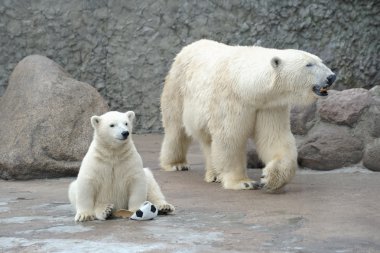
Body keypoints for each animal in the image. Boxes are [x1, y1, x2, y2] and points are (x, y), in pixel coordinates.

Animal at [160, 38, 336, 191]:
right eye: (309, 64)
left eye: (320, 61)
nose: (331, 76)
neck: (247, 86)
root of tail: (188, 47)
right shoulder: (231, 101)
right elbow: (229, 138)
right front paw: (243, 182)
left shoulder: (269, 106)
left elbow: (274, 138)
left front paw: (269, 178)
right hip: (177, 89)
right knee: (176, 129)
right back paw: (176, 164)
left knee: (207, 141)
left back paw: (214, 174)